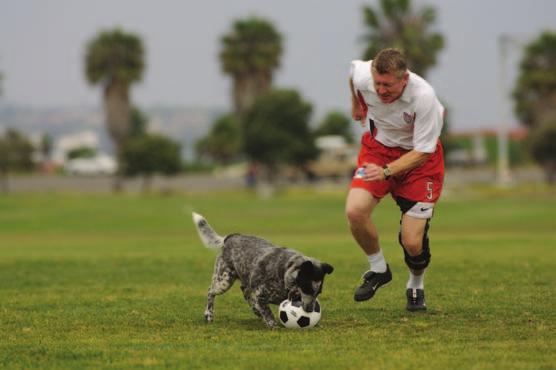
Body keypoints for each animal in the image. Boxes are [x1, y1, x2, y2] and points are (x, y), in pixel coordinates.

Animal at [194, 212, 334, 328]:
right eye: (307, 288)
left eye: (318, 292)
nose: (310, 309)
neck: (283, 271)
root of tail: (230, 237)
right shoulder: (260, 295)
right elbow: (267, 312)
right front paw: (272, 324)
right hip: (224, 281)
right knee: (210, 291)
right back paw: (209, 315)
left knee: (244, 291)